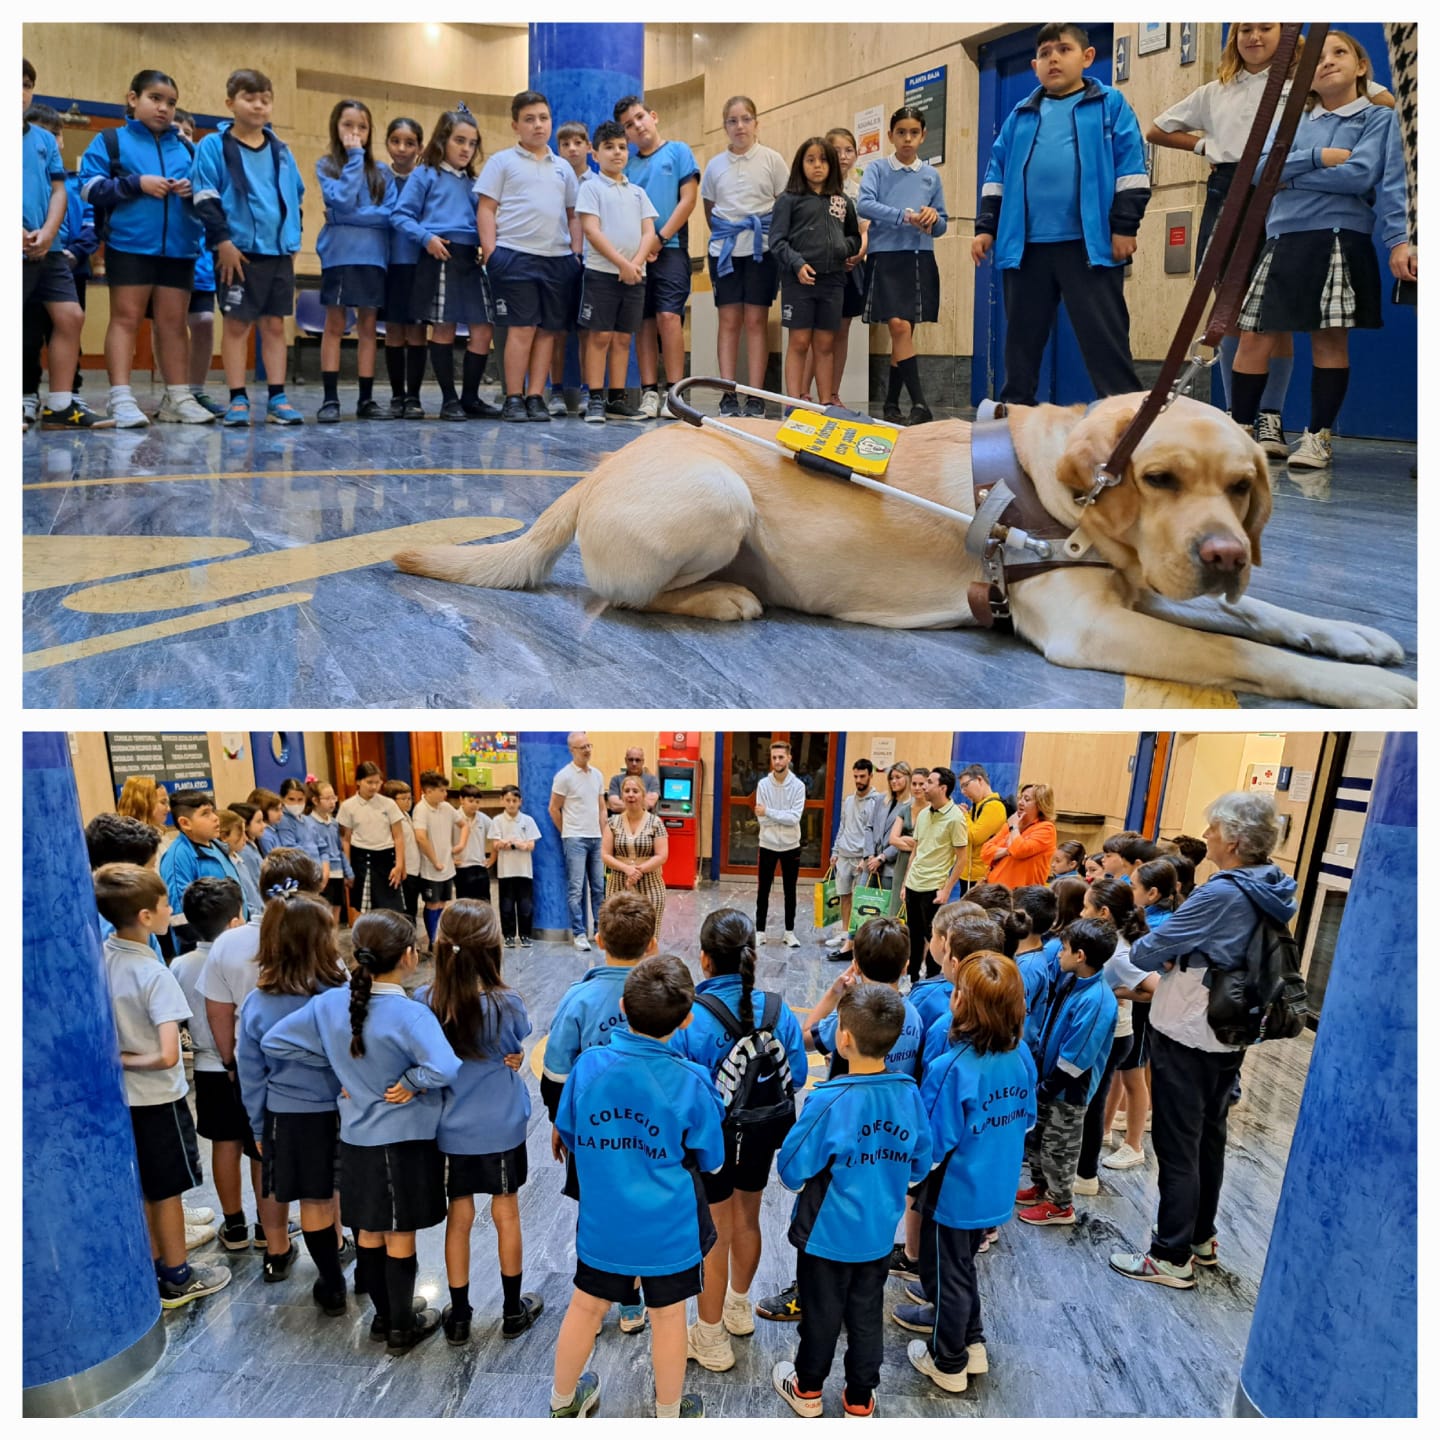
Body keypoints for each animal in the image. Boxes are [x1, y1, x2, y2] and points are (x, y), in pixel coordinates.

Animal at [397, 394, 1416, 708]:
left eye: (1241, 487)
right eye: (1159, 478)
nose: (1224, 553)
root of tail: (599, 467)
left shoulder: (1135, 587)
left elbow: (1265, 618)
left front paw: (1353, 638)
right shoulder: (1089, 626)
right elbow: (1238, 651)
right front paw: (1364, 689)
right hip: (718, 495)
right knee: (618, 598)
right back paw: (725, 597)